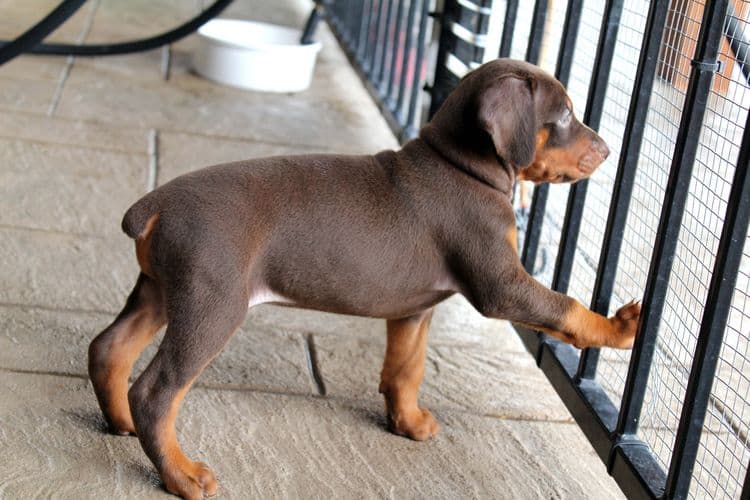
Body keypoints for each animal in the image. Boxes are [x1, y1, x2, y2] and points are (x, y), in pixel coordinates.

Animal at [86, 57, 640, 496]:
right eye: (563, 115)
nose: (608, 150)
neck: (461, 166)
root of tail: (152, 206)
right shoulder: (501, 286)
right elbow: (565, 308)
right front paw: (622, 328)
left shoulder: (415, 310)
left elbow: (405, 369)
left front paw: (408, 423)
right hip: (213, 305)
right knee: (156, 393)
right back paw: (181, 475)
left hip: (161, 291)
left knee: (109, 349)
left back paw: (121, 422)